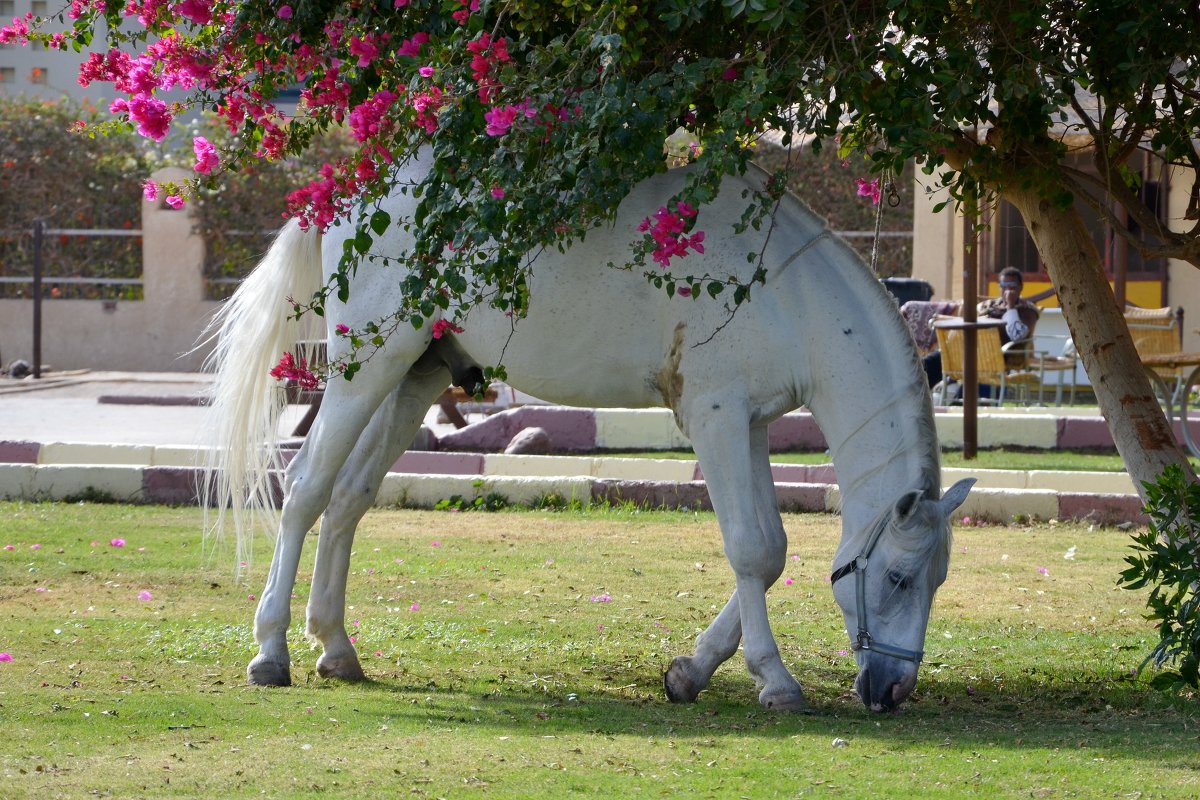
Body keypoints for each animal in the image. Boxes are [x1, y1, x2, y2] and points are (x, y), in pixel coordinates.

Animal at [206, 151, 974, 714]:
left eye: (937, 579)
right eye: (899, 577)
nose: (893, 690)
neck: (788, 292)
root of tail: (351, 193)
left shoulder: (748, 424)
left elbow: (773, 552)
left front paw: (691, 670)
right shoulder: (716, 418)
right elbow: (752, 549)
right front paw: (776, 681)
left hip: (414, 375)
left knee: (348, 500)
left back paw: (336, 648)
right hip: (365, 367)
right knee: (306, 488)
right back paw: (270, 651)